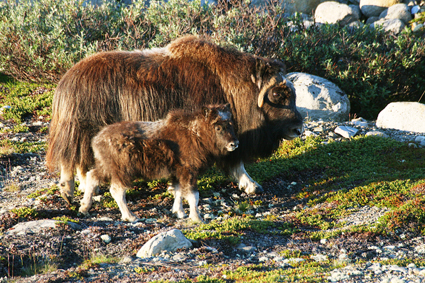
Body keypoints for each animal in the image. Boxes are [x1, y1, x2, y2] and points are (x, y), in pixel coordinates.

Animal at [46, 35, 304, 206]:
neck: (231, 86)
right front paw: (251, 185)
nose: (298, 129)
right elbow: (235, 161)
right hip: (81, 129)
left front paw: (251, 186)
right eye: (278, 95)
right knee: (70, 160)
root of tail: (67, 79)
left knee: (80, 162)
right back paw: (68, 191)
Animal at [78, 105, 238, 224]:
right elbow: (193, 195)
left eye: (231, 124)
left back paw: (84, 207)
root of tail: (96, 139)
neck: (196, 133)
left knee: (92, 176)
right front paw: (197, 218)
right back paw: (130, 216)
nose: (234, 144)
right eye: (218, 127)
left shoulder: (177, 172)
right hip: (123, 170)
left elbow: (178, 191)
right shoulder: (189, 170)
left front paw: (179, 212)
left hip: (106, 167)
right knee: (117, 190)